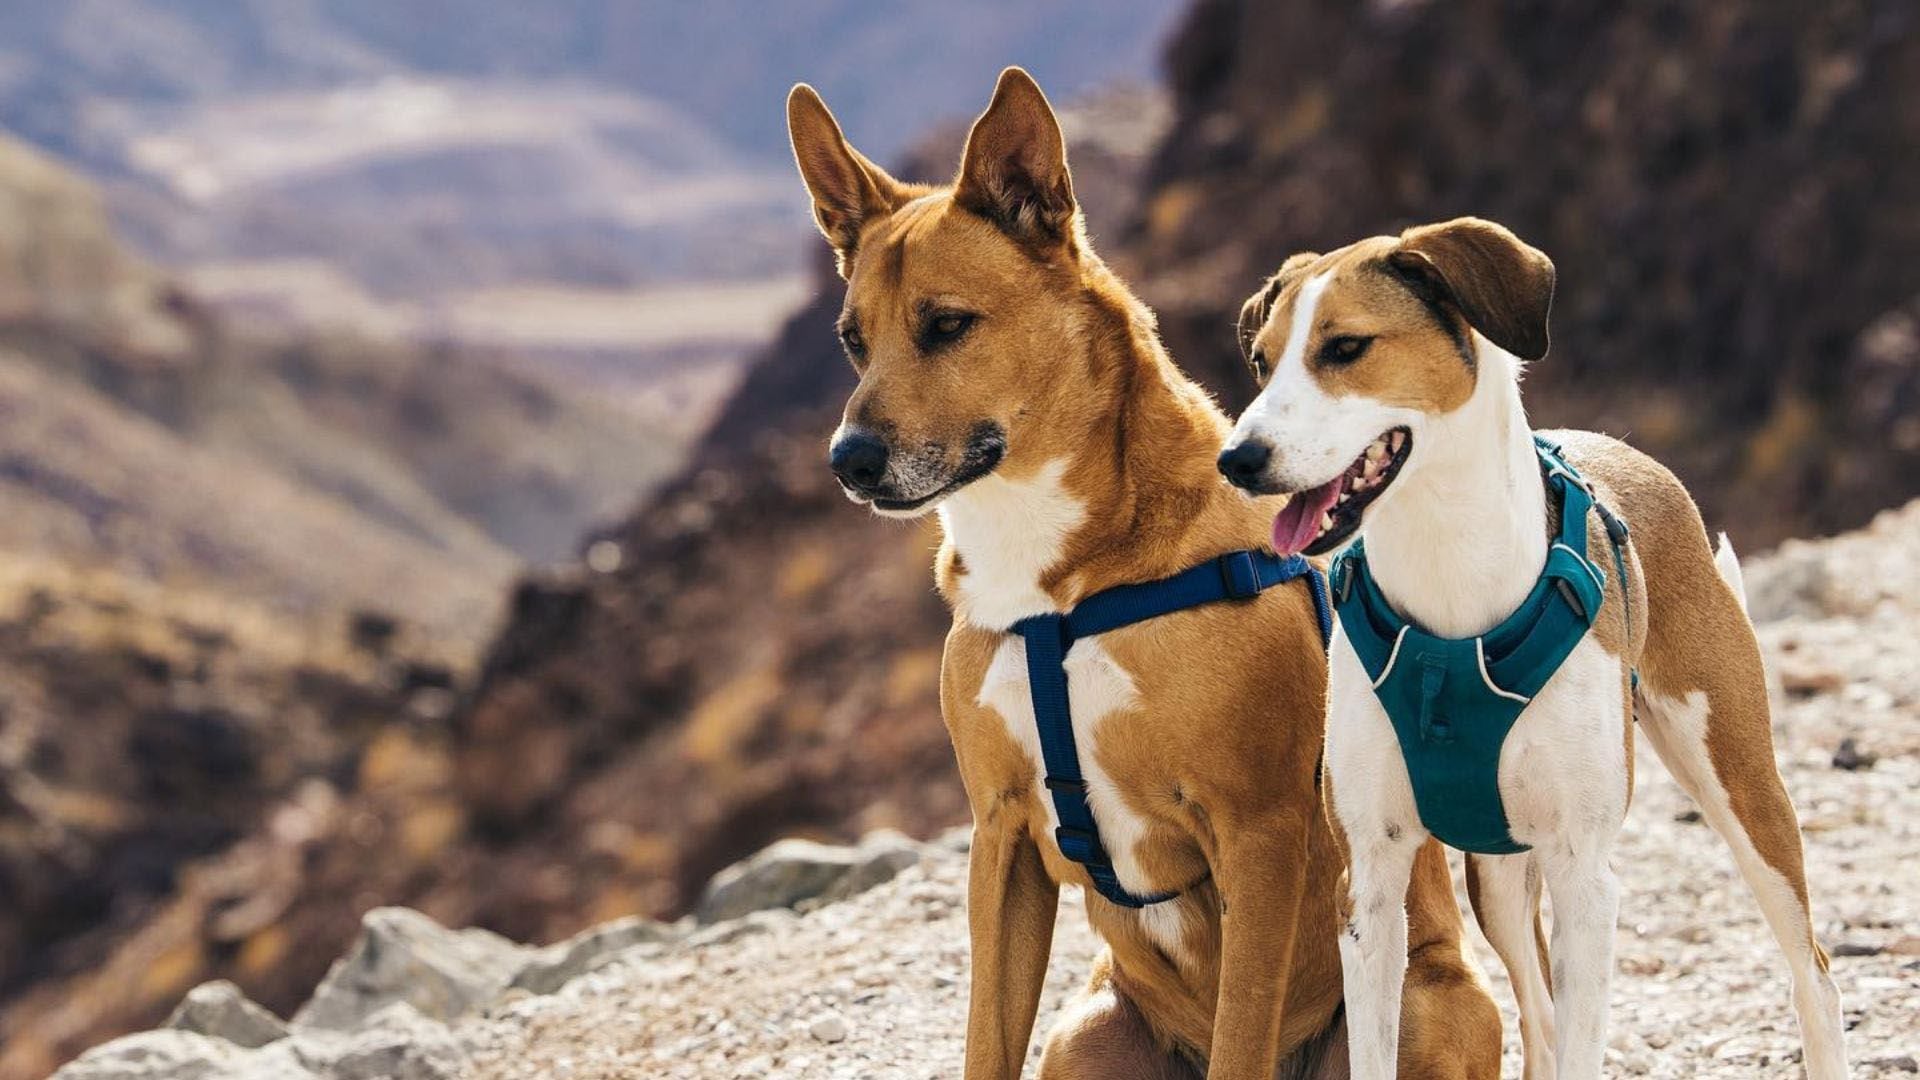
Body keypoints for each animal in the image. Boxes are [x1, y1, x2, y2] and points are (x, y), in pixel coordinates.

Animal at [779, 69, 1497, 1076]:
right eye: (852, 340)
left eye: (947, 325)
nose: (847, 462)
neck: (1058, 588)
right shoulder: (1001, 835)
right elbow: (985, 1040)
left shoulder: (1260, 834)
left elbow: (1241, 1037)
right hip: (1084, 1033)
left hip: (1430, 1004)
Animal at [1221, 219, 1850, 1076]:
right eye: (1261, 361)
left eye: (1345, 347)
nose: (1238, 458)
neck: (1449, 582)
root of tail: (1630, 454)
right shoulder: (1372, 882)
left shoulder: (1585, 877)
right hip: (1495, 878)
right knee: (1540, 1014)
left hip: (1742, 785)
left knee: (1810, 970)